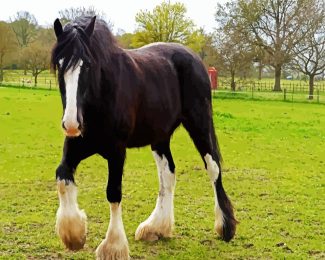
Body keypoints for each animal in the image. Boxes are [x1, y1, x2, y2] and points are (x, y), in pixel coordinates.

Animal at [52, 16, 237, 260]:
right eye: (59, 65)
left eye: (88, 65)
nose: (72, 124)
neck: (102, 94)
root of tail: (194, 57)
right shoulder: (75, 146)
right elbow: (62, 177)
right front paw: (74, 235)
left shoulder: (117, 151)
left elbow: (113, 192)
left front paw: (113, 246)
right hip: (160, 138)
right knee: (168, 174)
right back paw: (156, 227)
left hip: (199, 123)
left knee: (213, 167)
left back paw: (225, 227)